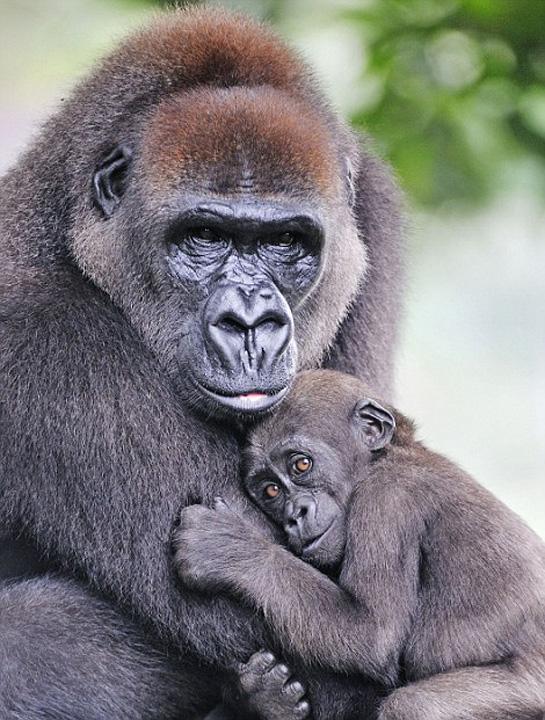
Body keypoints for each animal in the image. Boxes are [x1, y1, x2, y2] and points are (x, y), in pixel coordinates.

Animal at [177, 368, 544, 716]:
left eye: (301, 464)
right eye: (271, 490)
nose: (295, 514)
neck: (386, 456)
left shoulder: (387, 499)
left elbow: (372, 632)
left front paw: (227, 547)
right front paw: (260, 696)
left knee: (413, 707)